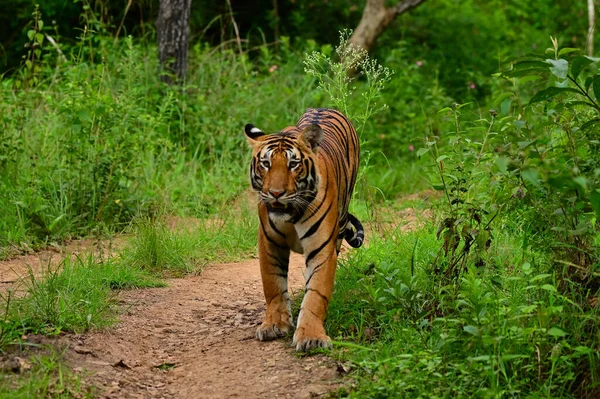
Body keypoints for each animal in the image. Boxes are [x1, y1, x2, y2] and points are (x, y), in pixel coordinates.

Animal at [245, 108, 366, 352]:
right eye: (266, 163)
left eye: (293, 164)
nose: (276, 193)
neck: (291, 214)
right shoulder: (269, 243)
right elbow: (273, 286)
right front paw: (274, 324)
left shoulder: (321, 248)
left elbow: (316, 294)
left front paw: (311, 337)